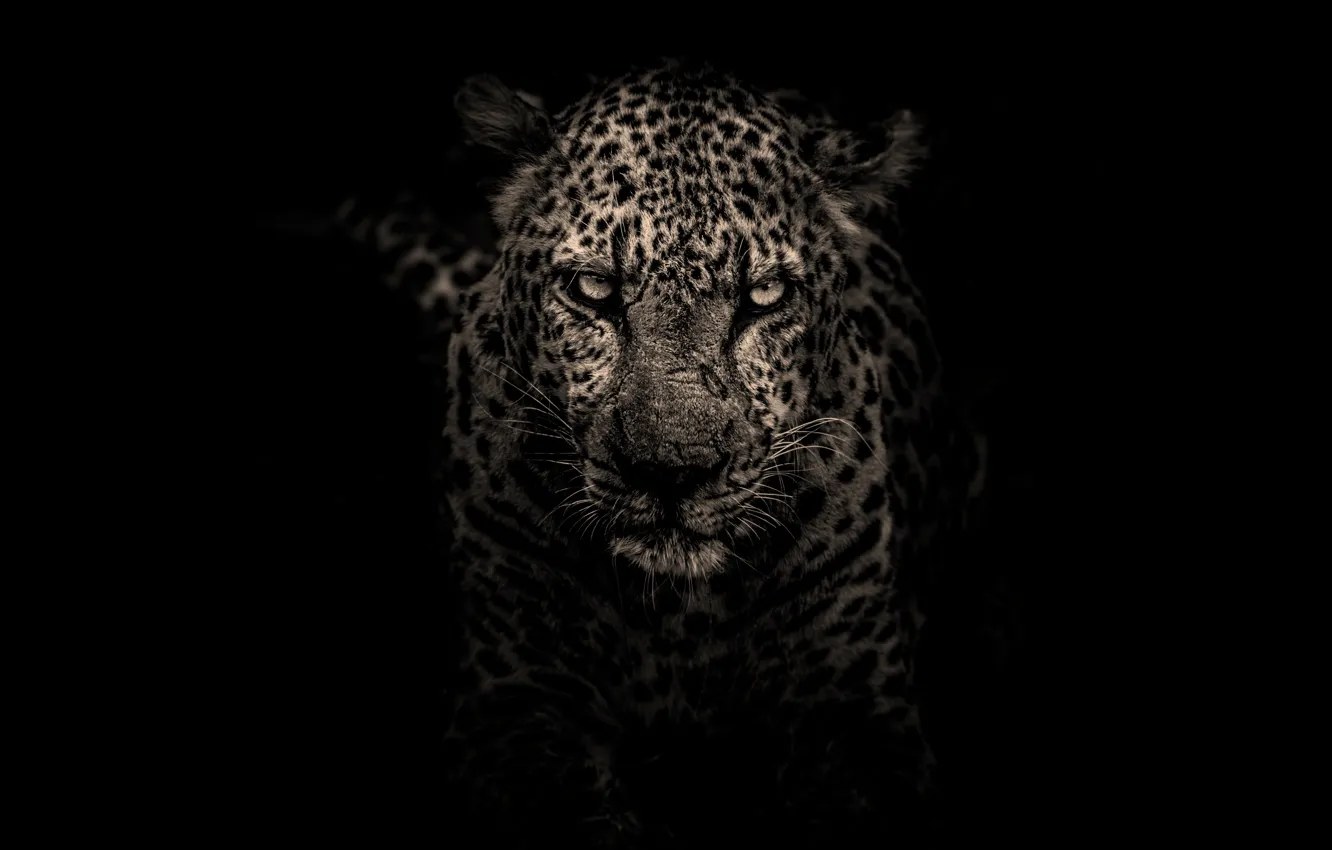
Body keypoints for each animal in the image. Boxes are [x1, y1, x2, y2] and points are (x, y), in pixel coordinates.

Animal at [320, 60, 988, 846]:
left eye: (765, 295)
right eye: (593, 289)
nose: (672, 472)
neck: (678, 616)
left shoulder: (857, 713)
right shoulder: (513, 701)